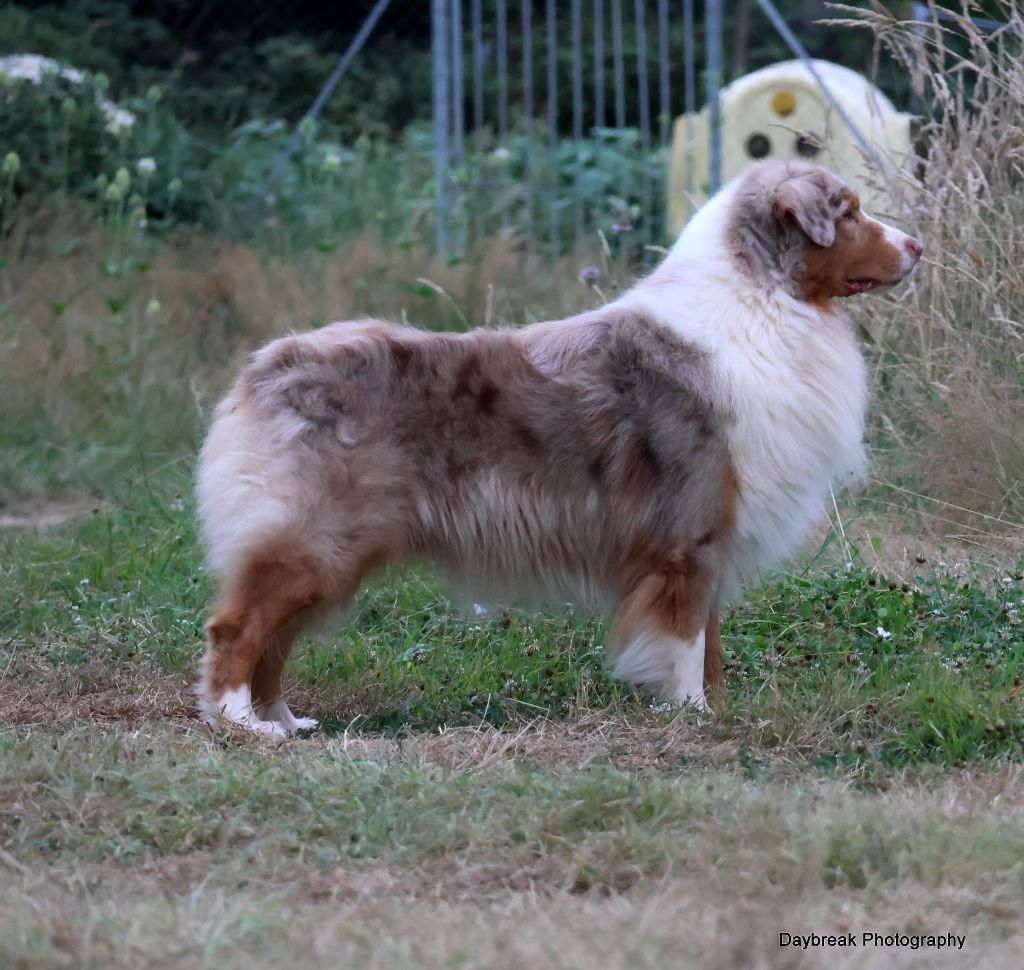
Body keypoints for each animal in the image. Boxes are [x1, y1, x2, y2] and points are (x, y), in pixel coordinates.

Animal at [192, 160, 921, 737]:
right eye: (849, 213)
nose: (917, 244)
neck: (764, 301)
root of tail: (265, 367)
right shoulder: (688, 539)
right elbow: (686, 642)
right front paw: (689, 716)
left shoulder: (708, 540)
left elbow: (710, 645)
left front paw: (717, 713)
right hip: (317, 540)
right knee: (236, 628)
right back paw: (240, 723)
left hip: (330, 554)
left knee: (274, 641)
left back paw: (285, 721)